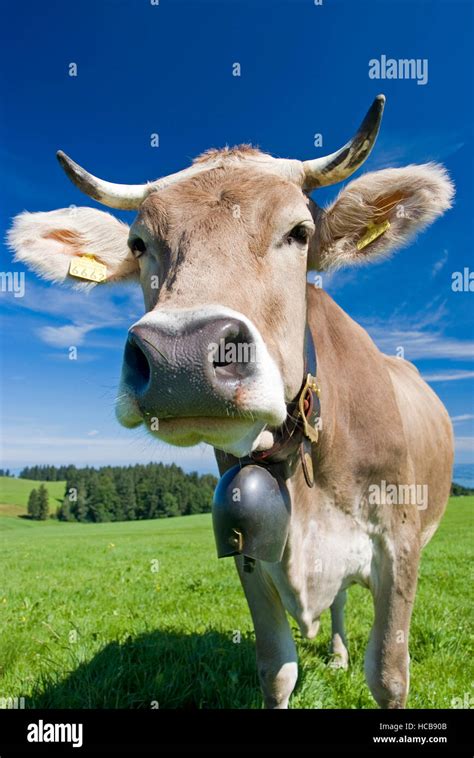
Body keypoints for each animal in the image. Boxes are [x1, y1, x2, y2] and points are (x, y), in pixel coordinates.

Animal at [5, 96, 454, 712]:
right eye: (139, 245)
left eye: (299, 231)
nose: (181, 358)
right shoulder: (248, 551)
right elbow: (276, 670)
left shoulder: (401, 545)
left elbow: (388, 675)